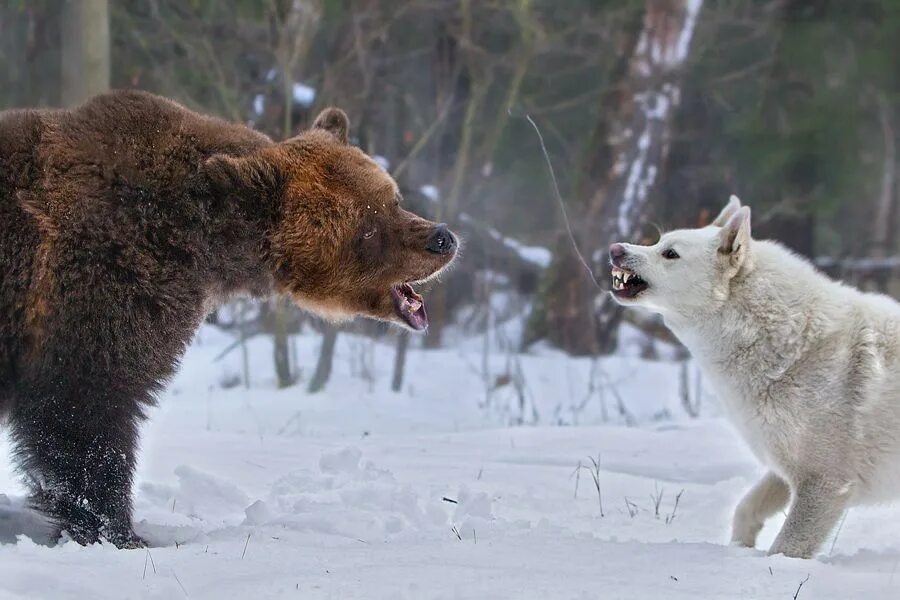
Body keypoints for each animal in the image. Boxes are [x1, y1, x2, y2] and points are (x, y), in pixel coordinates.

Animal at [0, 90, 458, 548]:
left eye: (392, 199)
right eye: (366, 227)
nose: (442, 239)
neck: (204, 246)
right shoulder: (101, 283)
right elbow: (86, 408)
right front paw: (119, 532)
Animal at [608, 196, 900, 556]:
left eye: (670, 253)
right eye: (658, 242)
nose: (615, 249)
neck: (793, 348)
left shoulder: (824, 483)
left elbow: (786, 547)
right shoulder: (783, 471)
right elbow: (745, 508)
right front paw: (740, 549)